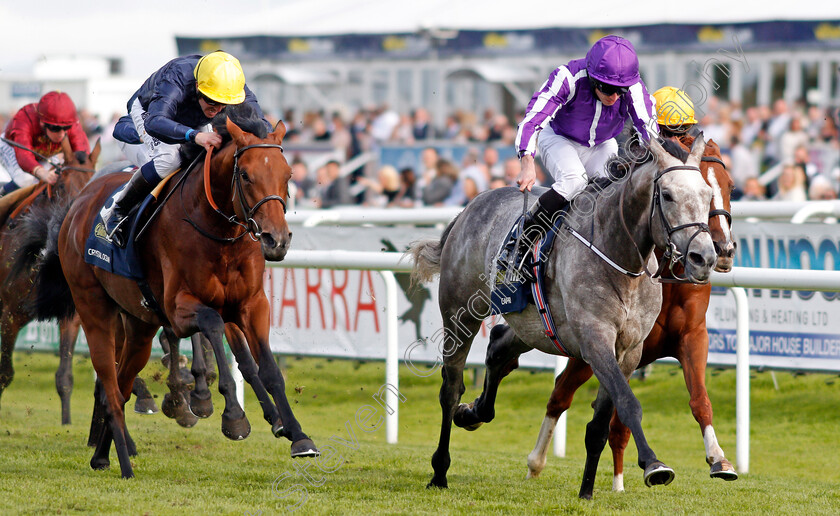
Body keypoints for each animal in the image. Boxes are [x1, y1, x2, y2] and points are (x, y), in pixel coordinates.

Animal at [16, 106, 318, 480]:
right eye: (246, 175)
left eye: (287, 174)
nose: (276, 240)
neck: (219, 232)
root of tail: (76, 205)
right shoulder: (179, 308)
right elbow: (212, 325)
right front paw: (230, 414)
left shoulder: (251, 304)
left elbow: (266, 368)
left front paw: (296, 434)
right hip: (94, 309)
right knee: (111, 387)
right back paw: (125, 462)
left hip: (139, 325)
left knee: (121, 386)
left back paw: (102, 455)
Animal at [412, 135, 716, 498]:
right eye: (667, 194)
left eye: (708, 194)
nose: (704, 257)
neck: (619, 255)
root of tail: (469, 207)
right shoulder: (595, 340)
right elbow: (628, 403)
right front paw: (654, 465)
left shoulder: (629, 351)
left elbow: (600, 424)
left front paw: (586, 490)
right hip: (460, 314)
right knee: (451, 388)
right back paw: (439, 470)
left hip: (533, 326)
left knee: (498, 348)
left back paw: (473, 413)